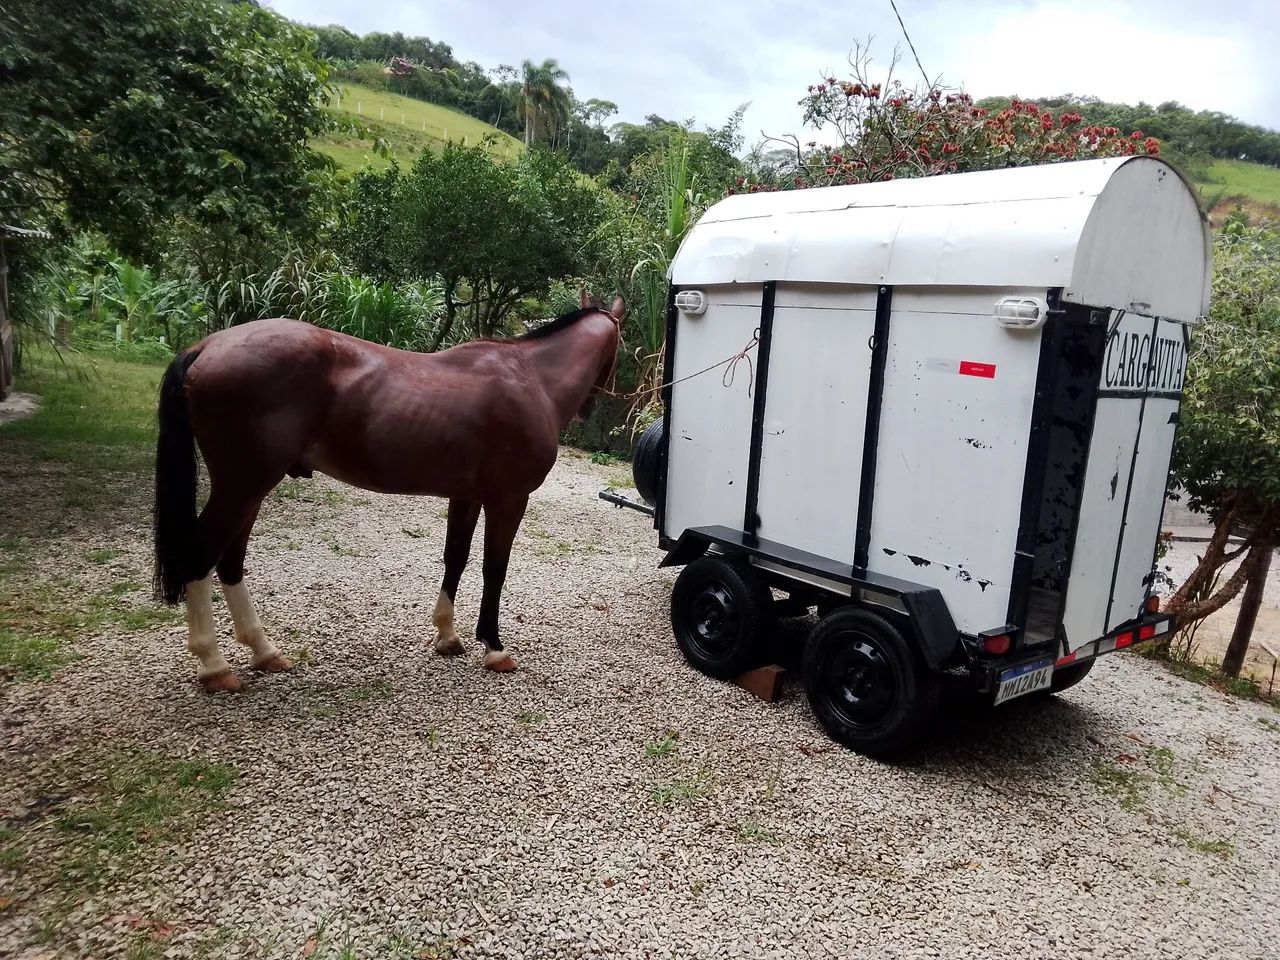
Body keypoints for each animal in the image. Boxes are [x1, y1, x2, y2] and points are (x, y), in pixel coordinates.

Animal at [153, 293, 624, 692]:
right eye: (620, 348)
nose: (594, 405)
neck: (531, 378)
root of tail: (207, 347)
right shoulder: (508, 500)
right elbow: (495, 569)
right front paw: (494, 647)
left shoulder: (467, 496)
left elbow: (456, 558)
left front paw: (447, 636)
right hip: (242, 485)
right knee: (201, 557)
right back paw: (215, 666)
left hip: (249, 489)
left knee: (230, 563)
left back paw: (265, 652)